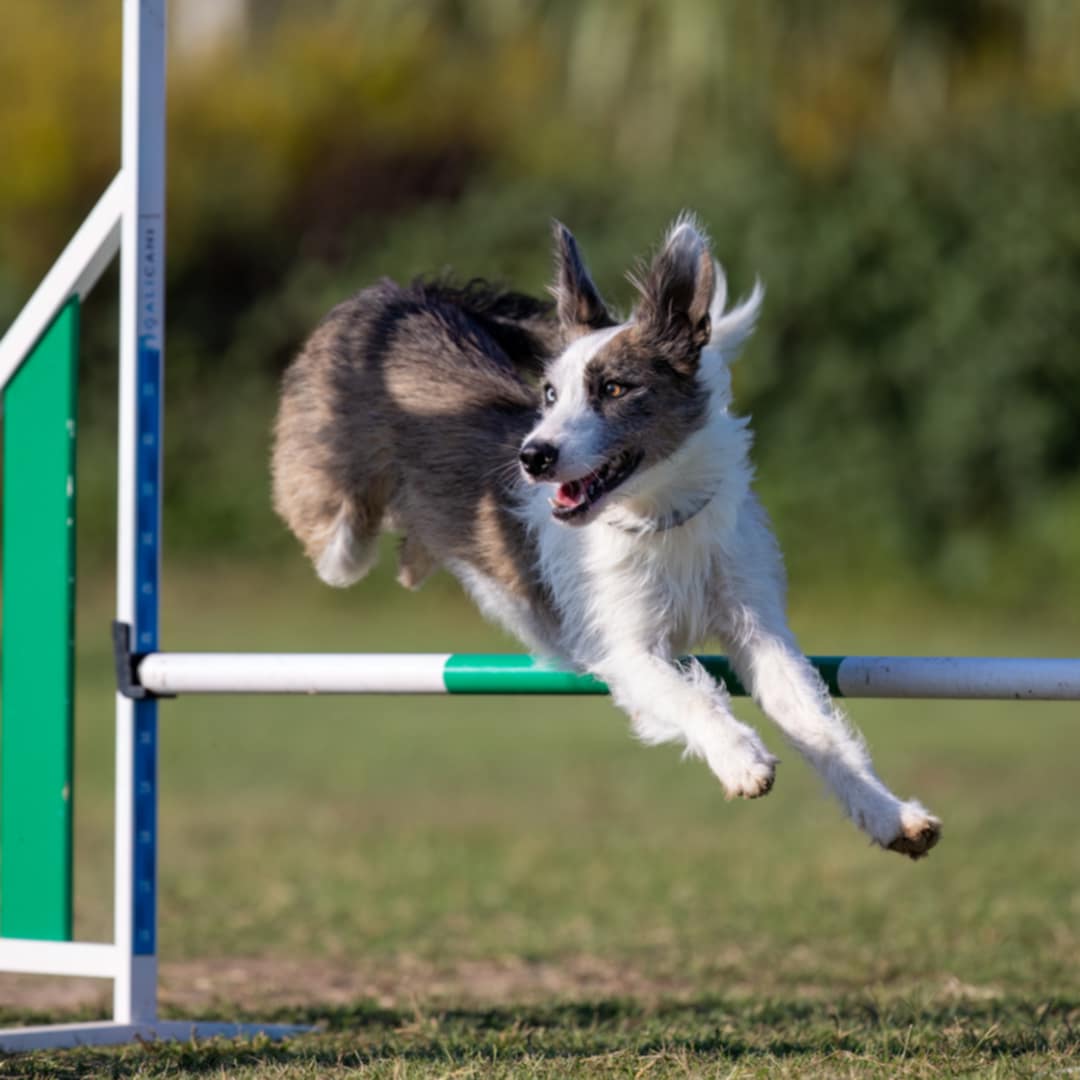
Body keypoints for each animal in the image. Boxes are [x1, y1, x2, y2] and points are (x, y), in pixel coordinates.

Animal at [274, 217, 941, 859]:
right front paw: (740, 758)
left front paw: (888, 815)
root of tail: (405, 294)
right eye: (549, 394)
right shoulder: (621, 645)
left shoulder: (758, 628)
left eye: (615, 388)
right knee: (344, 538)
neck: (661, 517)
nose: (533, 457)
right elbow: (690, 695)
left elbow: (817, 725)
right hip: (333, 521)